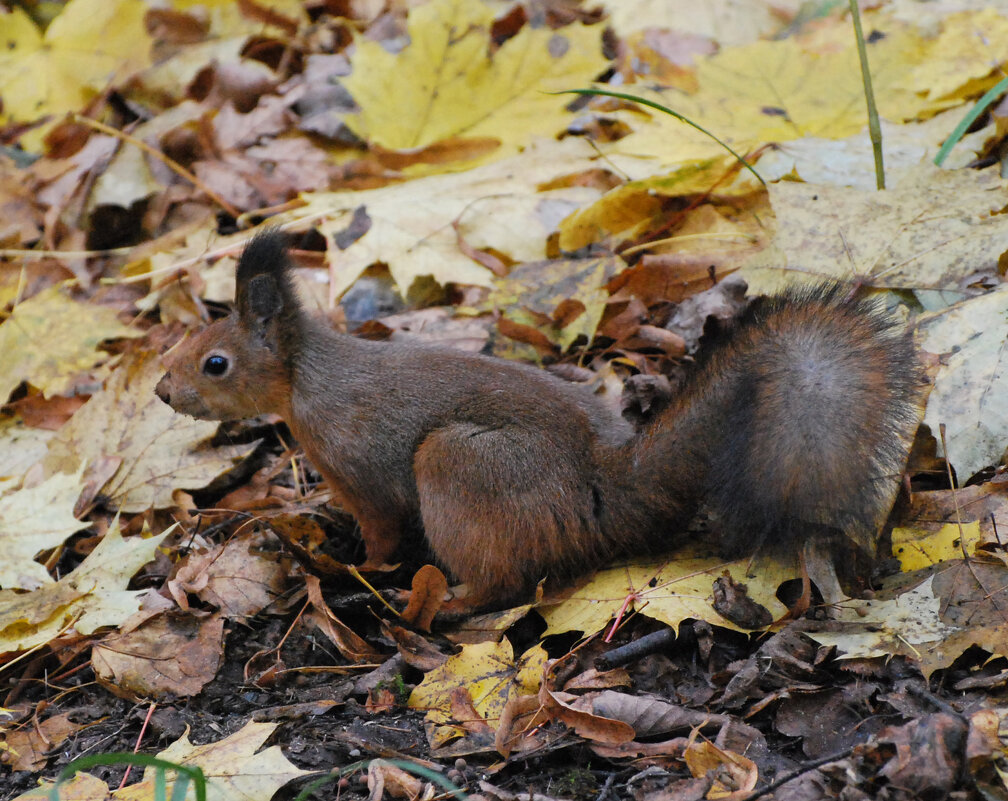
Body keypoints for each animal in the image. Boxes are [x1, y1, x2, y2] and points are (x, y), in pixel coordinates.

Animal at [155, 228, 923, 604]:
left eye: (215, 362)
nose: (163, 390)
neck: (307, 381)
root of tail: (612, 486)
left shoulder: (360, 468)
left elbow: (381, 531)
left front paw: (352, 564)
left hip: (461, 464)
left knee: (501, 583)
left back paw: (445, 604)